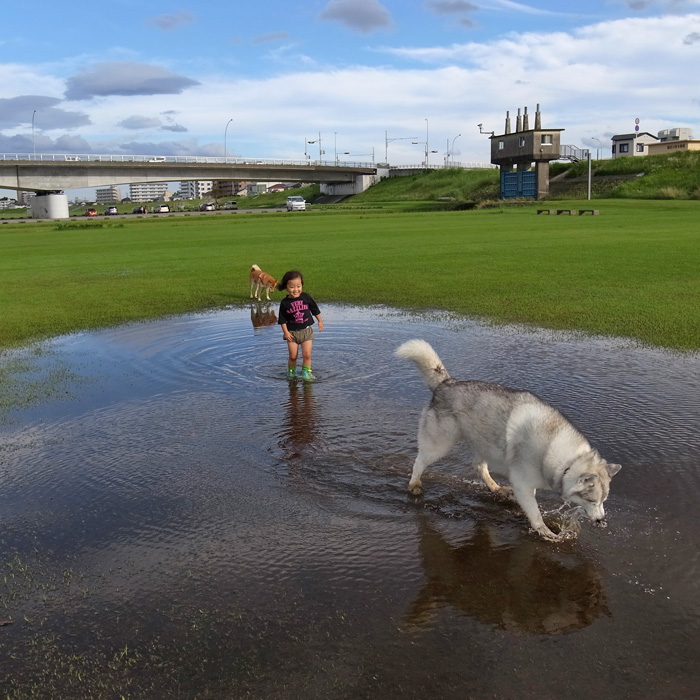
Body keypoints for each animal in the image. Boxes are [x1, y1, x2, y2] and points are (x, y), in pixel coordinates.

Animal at [396, 340, 620, 540]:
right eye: (592, 500)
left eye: (603, 500)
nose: (601, 520)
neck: (565, 460)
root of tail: (447, 383)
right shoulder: (523, 482)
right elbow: (535, 513)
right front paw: (546, 532)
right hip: (440, 445)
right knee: (419, 462)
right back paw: (414, 485)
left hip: (484, 443)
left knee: (478, 466)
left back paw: (496, 488)